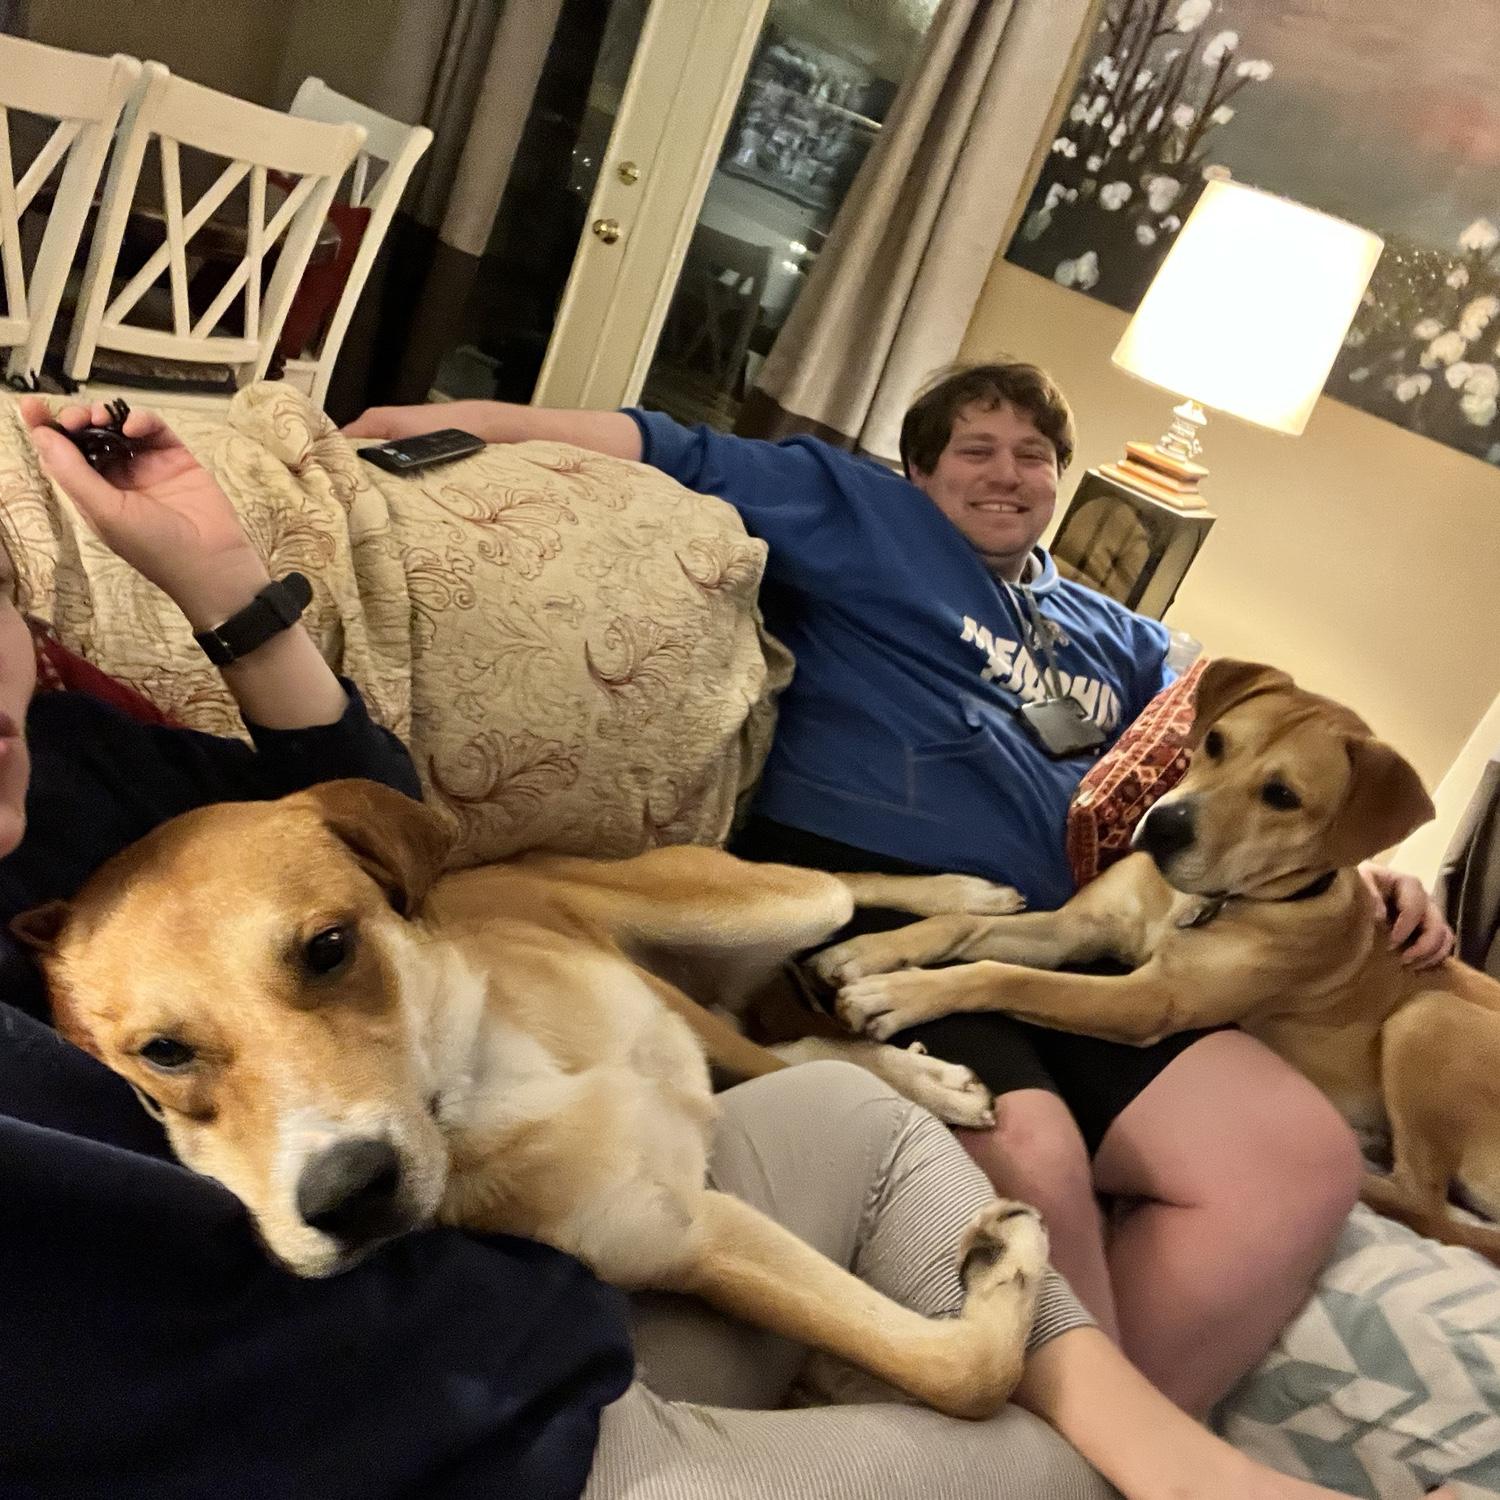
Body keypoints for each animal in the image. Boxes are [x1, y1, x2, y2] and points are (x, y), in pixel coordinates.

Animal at [16, 780, 1045, 1419]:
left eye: (328, 947)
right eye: (162, 1053)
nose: (347, 1197)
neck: (477, 1083)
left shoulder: (667, 1015)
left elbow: (785, 1056)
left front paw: (917, 1071)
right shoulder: (691, 1238)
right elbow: (963, 1374)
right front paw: (1006, 1261)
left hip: (746, 907)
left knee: (842, 889)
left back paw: (962, 900)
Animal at [814, 658, 1500, 1265]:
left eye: (1282, 796)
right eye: (1215, 742)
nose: (1162, 826)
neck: (1200, 900)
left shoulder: (1146, 1000)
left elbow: (1004, 976)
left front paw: (894, 994)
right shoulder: (1075, 931)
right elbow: (964, 928)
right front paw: (868, 950)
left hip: (1428, 1016)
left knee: (1426, 1205)